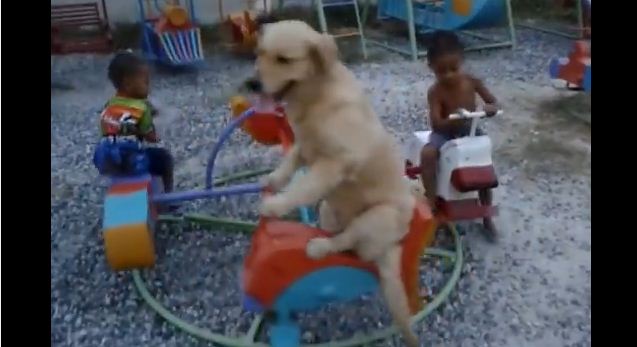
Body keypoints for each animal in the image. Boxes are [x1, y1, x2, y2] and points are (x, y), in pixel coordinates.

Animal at [250, 20, 422, 346]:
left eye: (284, 60)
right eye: (260, 53)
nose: (251, 84)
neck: (318, 98)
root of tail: (393, 245)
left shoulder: (334, 164)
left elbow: (303, 188)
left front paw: (275, 206)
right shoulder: (304, 148)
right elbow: (289, 164)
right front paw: (274, 181)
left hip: (378, 216)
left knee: (347, 241)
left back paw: (319, 247)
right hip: (329, 210)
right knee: (343, 239)